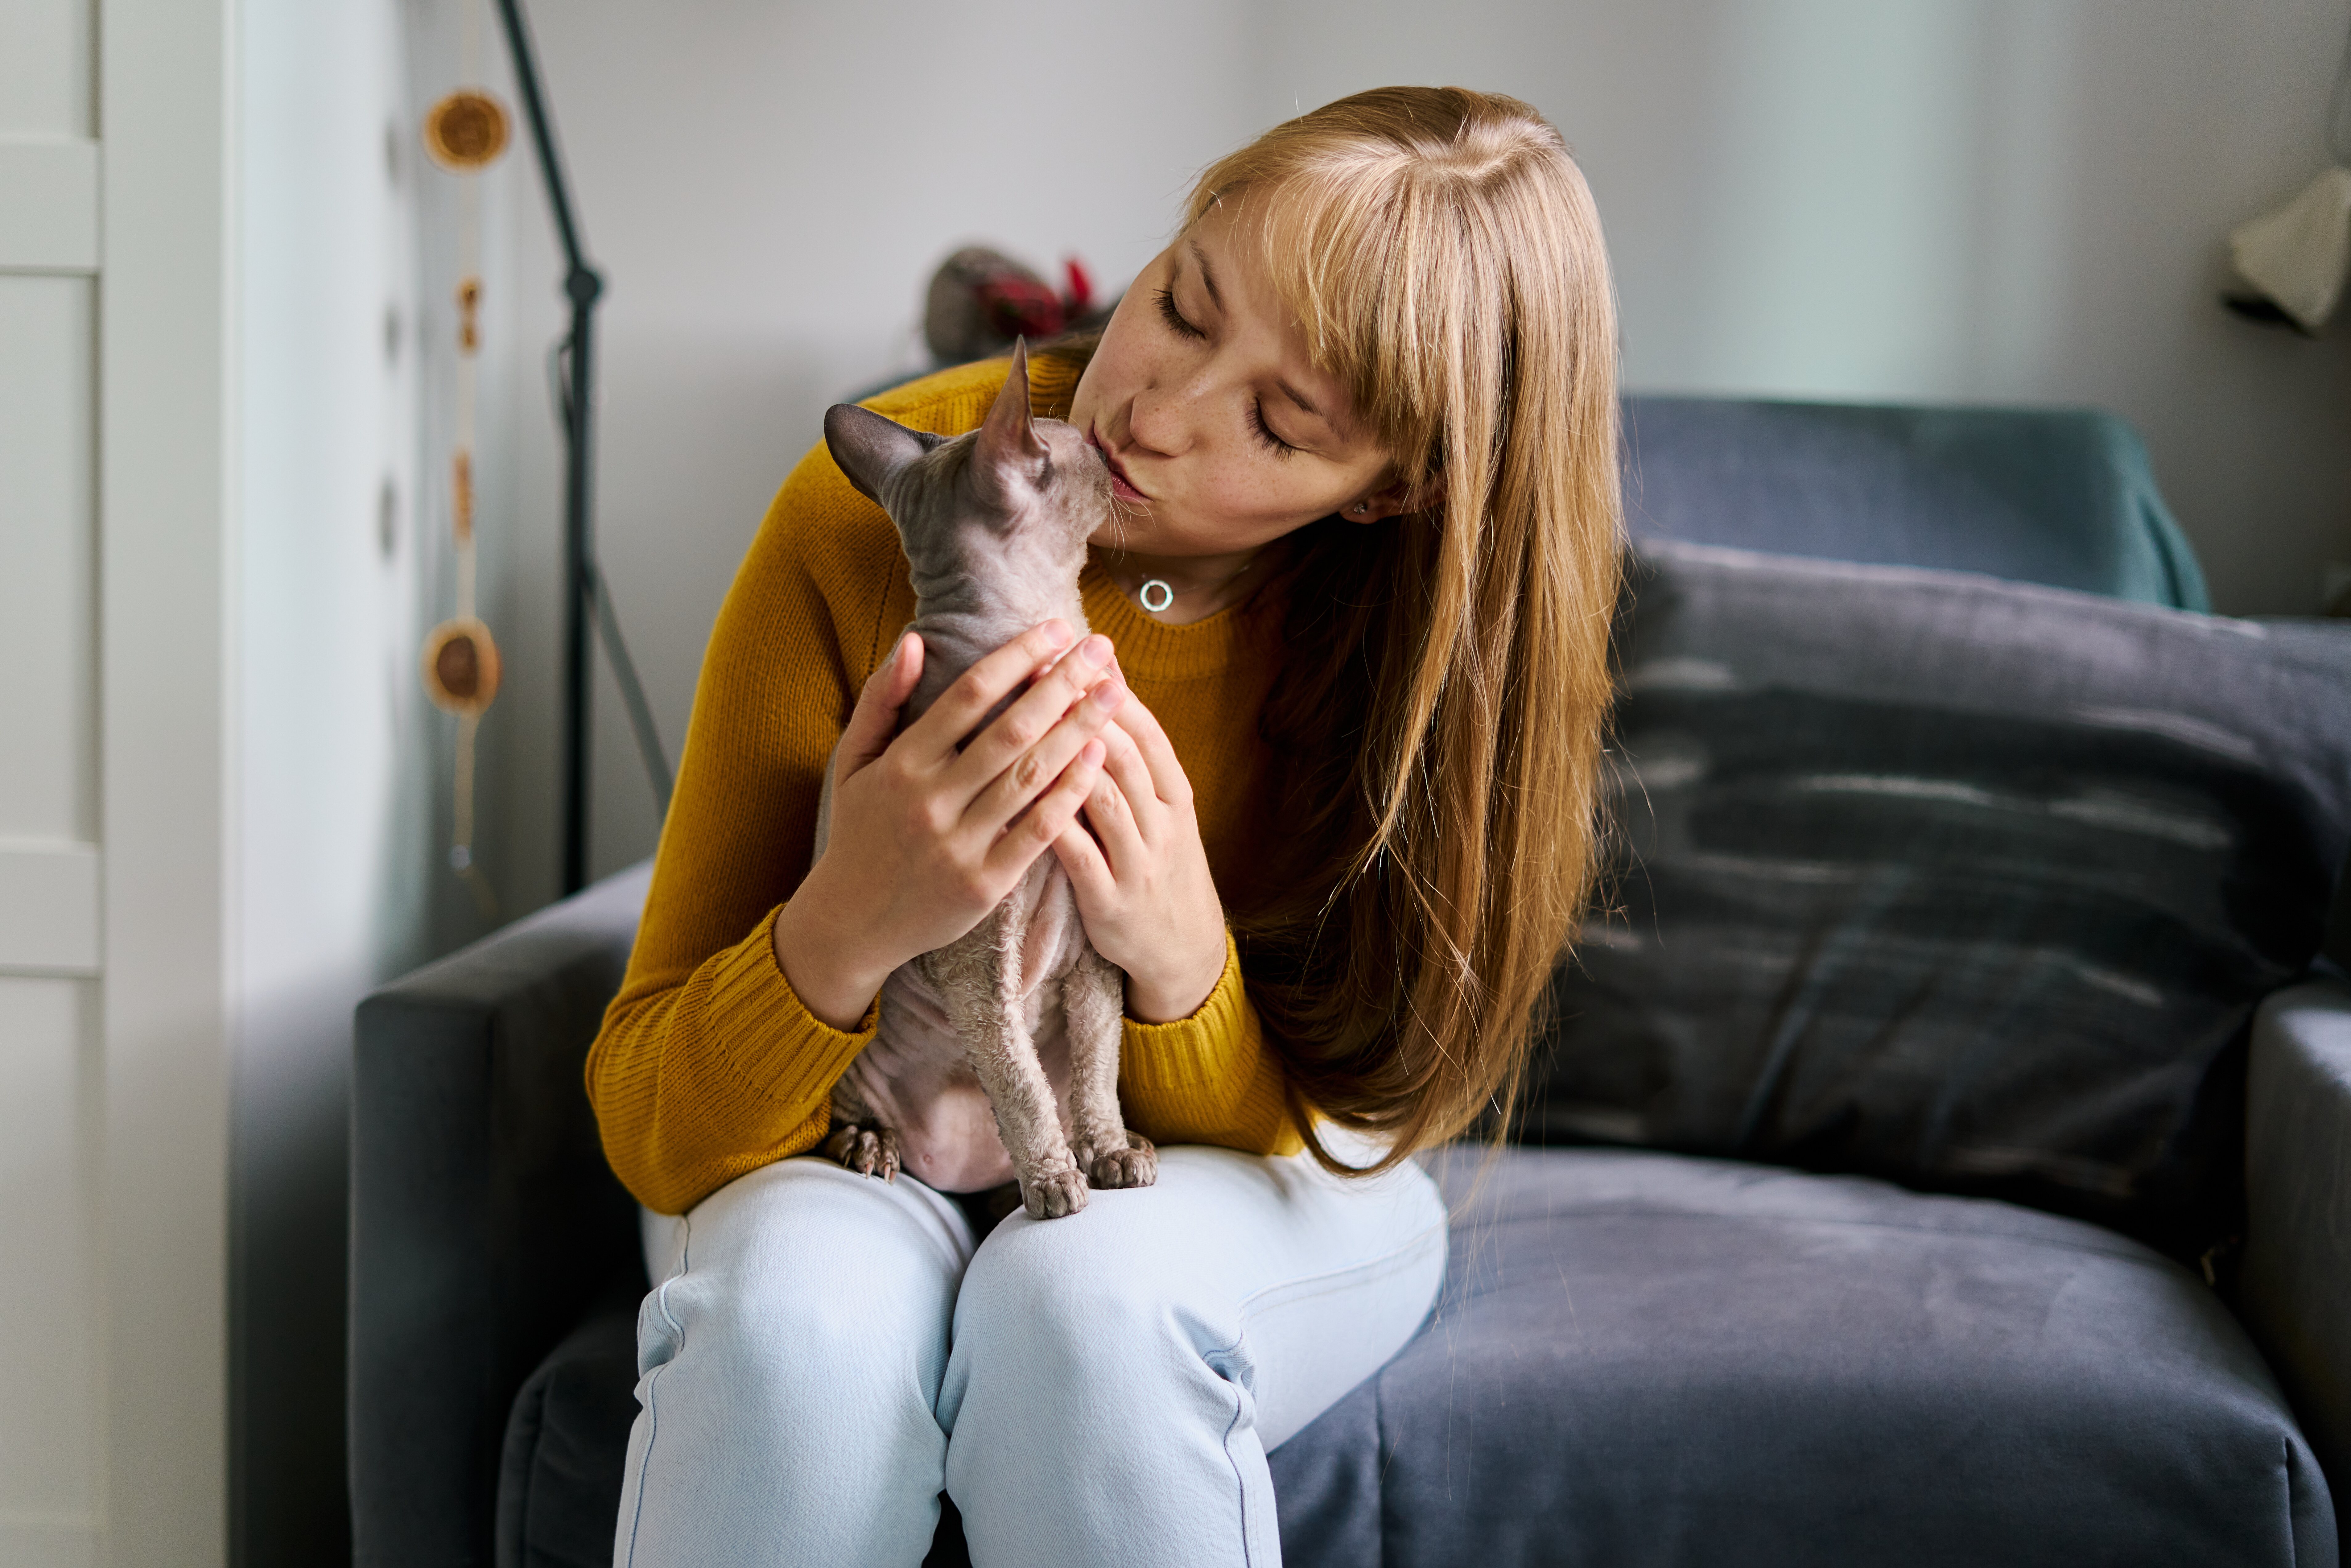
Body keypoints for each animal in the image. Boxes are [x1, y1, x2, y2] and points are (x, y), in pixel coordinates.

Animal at [813, 345, 1161, 1222]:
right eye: (1086, 449)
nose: (1113, 453)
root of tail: (969, 1183)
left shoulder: (1094, 951)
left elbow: (1097, 1068)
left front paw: (1108, 1153)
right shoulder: (976, 957)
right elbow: (1019, 1084)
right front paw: (1057, 1184)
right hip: (876, 1053)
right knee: (860, 1110)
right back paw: (872, 1146)